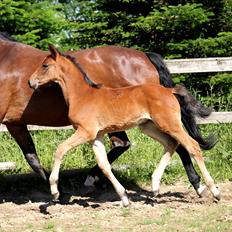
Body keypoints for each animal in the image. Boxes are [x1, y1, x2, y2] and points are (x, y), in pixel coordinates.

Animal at [0, 32, 215, 196]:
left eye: (45, 66)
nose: (30, 82)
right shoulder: (16, 123)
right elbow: (33, 158)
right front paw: (58, 191)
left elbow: (49, 153)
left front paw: (57, 191)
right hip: (144, 124)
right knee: (154, 144)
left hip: (160, 122)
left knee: (184, 145)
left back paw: (203, 187)